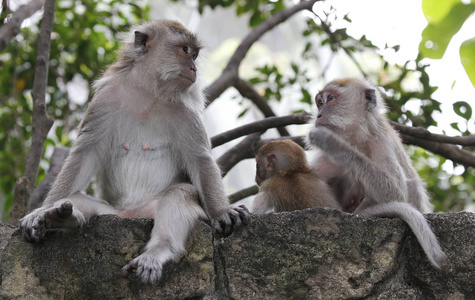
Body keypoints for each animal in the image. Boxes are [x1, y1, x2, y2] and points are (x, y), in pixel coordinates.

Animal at [19, 20, 249, 284]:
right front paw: (40, 211)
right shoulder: (105, 99)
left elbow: (200, 159)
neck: (150, 91)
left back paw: (157, 251)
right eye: (185, 50)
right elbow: (85, 152)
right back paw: (62, 217)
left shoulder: (186, 111)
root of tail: (129, 215)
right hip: (111, 213)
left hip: (148, 211)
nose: (193, 68)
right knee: (76, 199)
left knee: (179, 194)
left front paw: (221, 212)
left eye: (195, 54)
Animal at [310, 78, 448, 268]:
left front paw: (336, 145)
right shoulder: (325, 160)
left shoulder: (382, 142)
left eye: (330, 98)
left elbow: (395, 192)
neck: (357, 138)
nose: (319, 115)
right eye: (319, 103)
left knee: (411, 185)